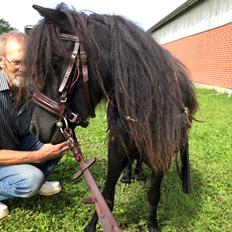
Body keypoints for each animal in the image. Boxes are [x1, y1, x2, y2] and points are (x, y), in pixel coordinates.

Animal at [24, 4, 198, 232]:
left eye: (55, 61)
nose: (35, 128)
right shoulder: (117, 145)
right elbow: (105, 197)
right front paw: (92, 226)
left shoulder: (162, 153)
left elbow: (153, 194)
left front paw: (152, 224)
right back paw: (129, 175)